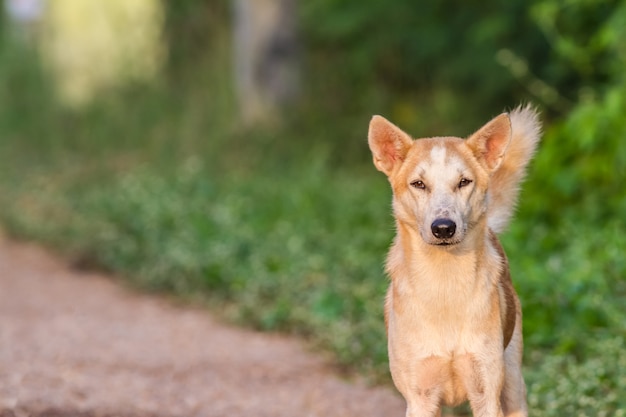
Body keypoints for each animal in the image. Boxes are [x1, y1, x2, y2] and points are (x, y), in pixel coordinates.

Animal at [368, 105, 540, 416]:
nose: (444, 228)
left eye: (463, 182)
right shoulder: (420, 398)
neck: (444, 284)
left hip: (513, 383)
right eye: (418, 184)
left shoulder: (486, 393)